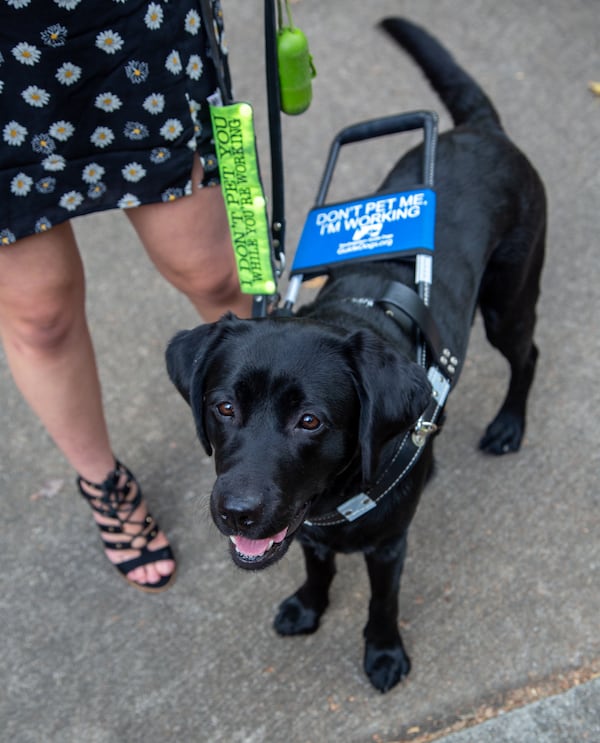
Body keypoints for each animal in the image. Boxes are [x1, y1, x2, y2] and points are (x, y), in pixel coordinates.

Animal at [166, 16, 548, 692]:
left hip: (509, 302)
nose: (236, 513)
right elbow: (317, 566)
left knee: (527, 354)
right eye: (223, 408)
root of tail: (483, 130)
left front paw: (384, 651)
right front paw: (309, 605)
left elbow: (383, 600)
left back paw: (509, 425)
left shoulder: (388, 546)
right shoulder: (307, 532)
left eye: (310, 420)